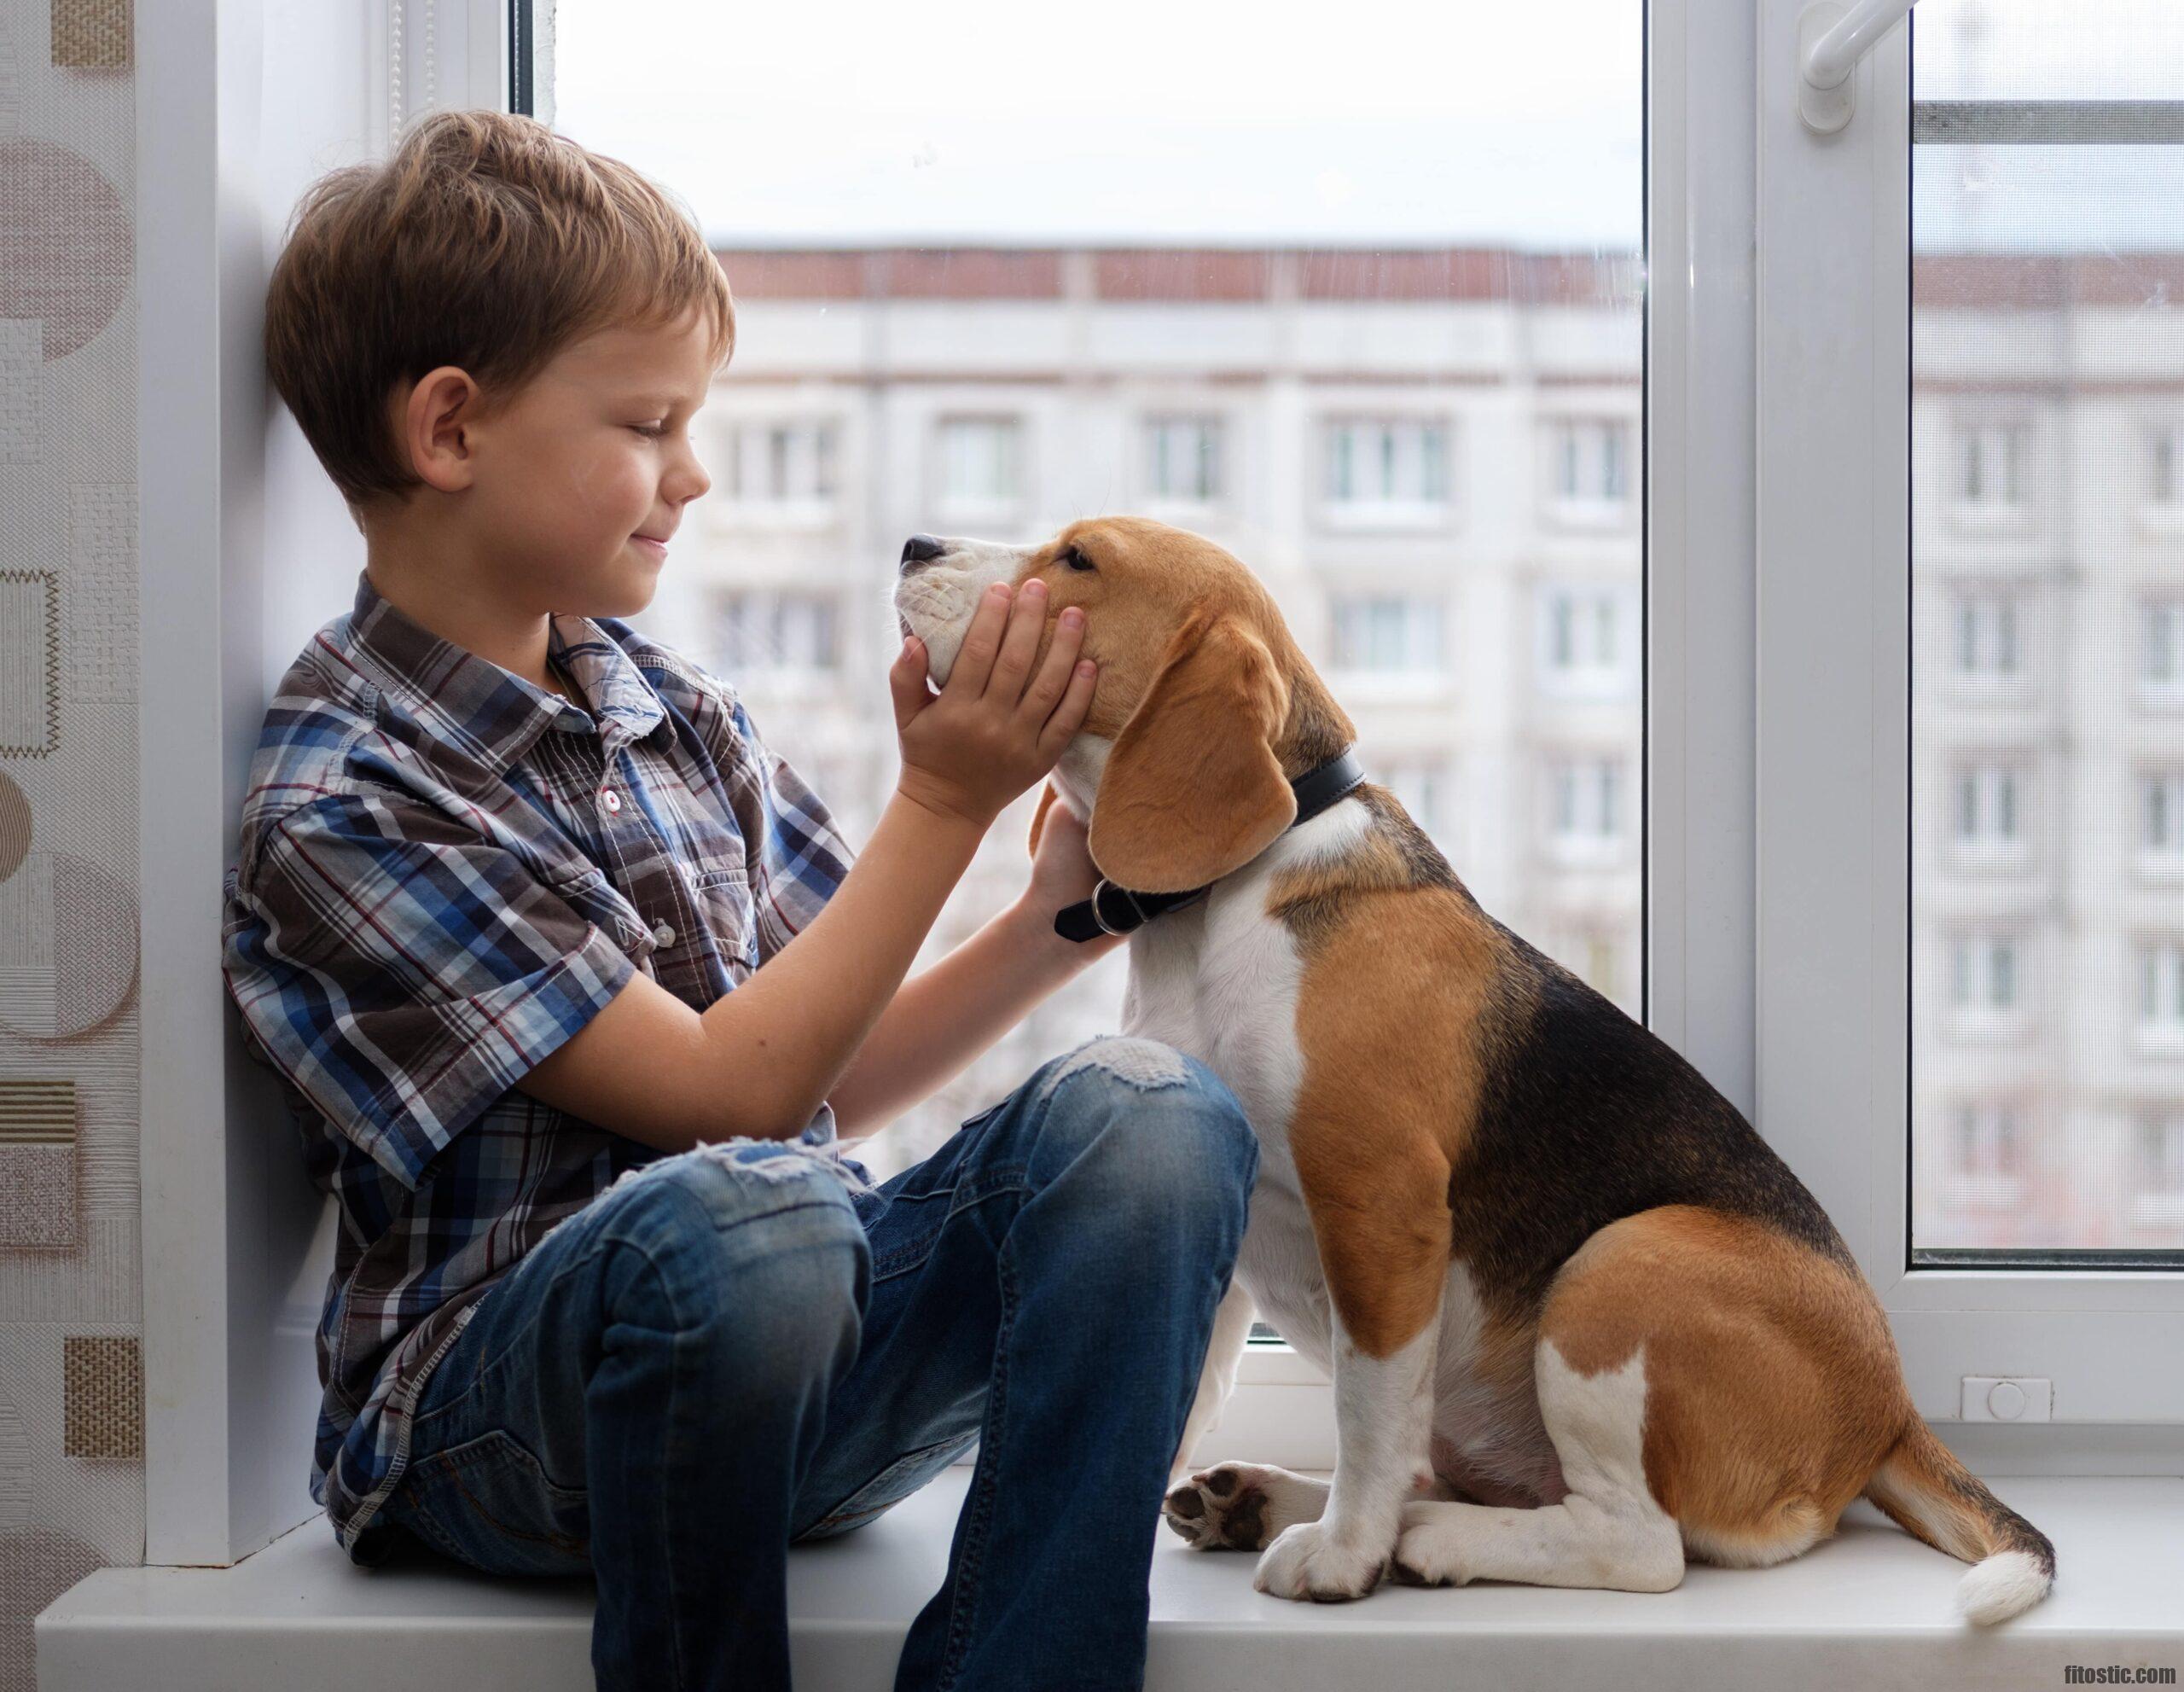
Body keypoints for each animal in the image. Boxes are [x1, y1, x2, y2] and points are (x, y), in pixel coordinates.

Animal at [886, 519, 2044, 1624]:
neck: (1228, 899)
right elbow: (1189, 1392)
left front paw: (1344, 1559)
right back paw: (1260, 1500)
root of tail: (1889, 1413)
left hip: (1622, 1267)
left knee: (1640, 1547)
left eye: (1079, 558)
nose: (913, 546)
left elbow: (1367, 1407)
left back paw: (1419, 1538)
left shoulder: (1380, 1202)